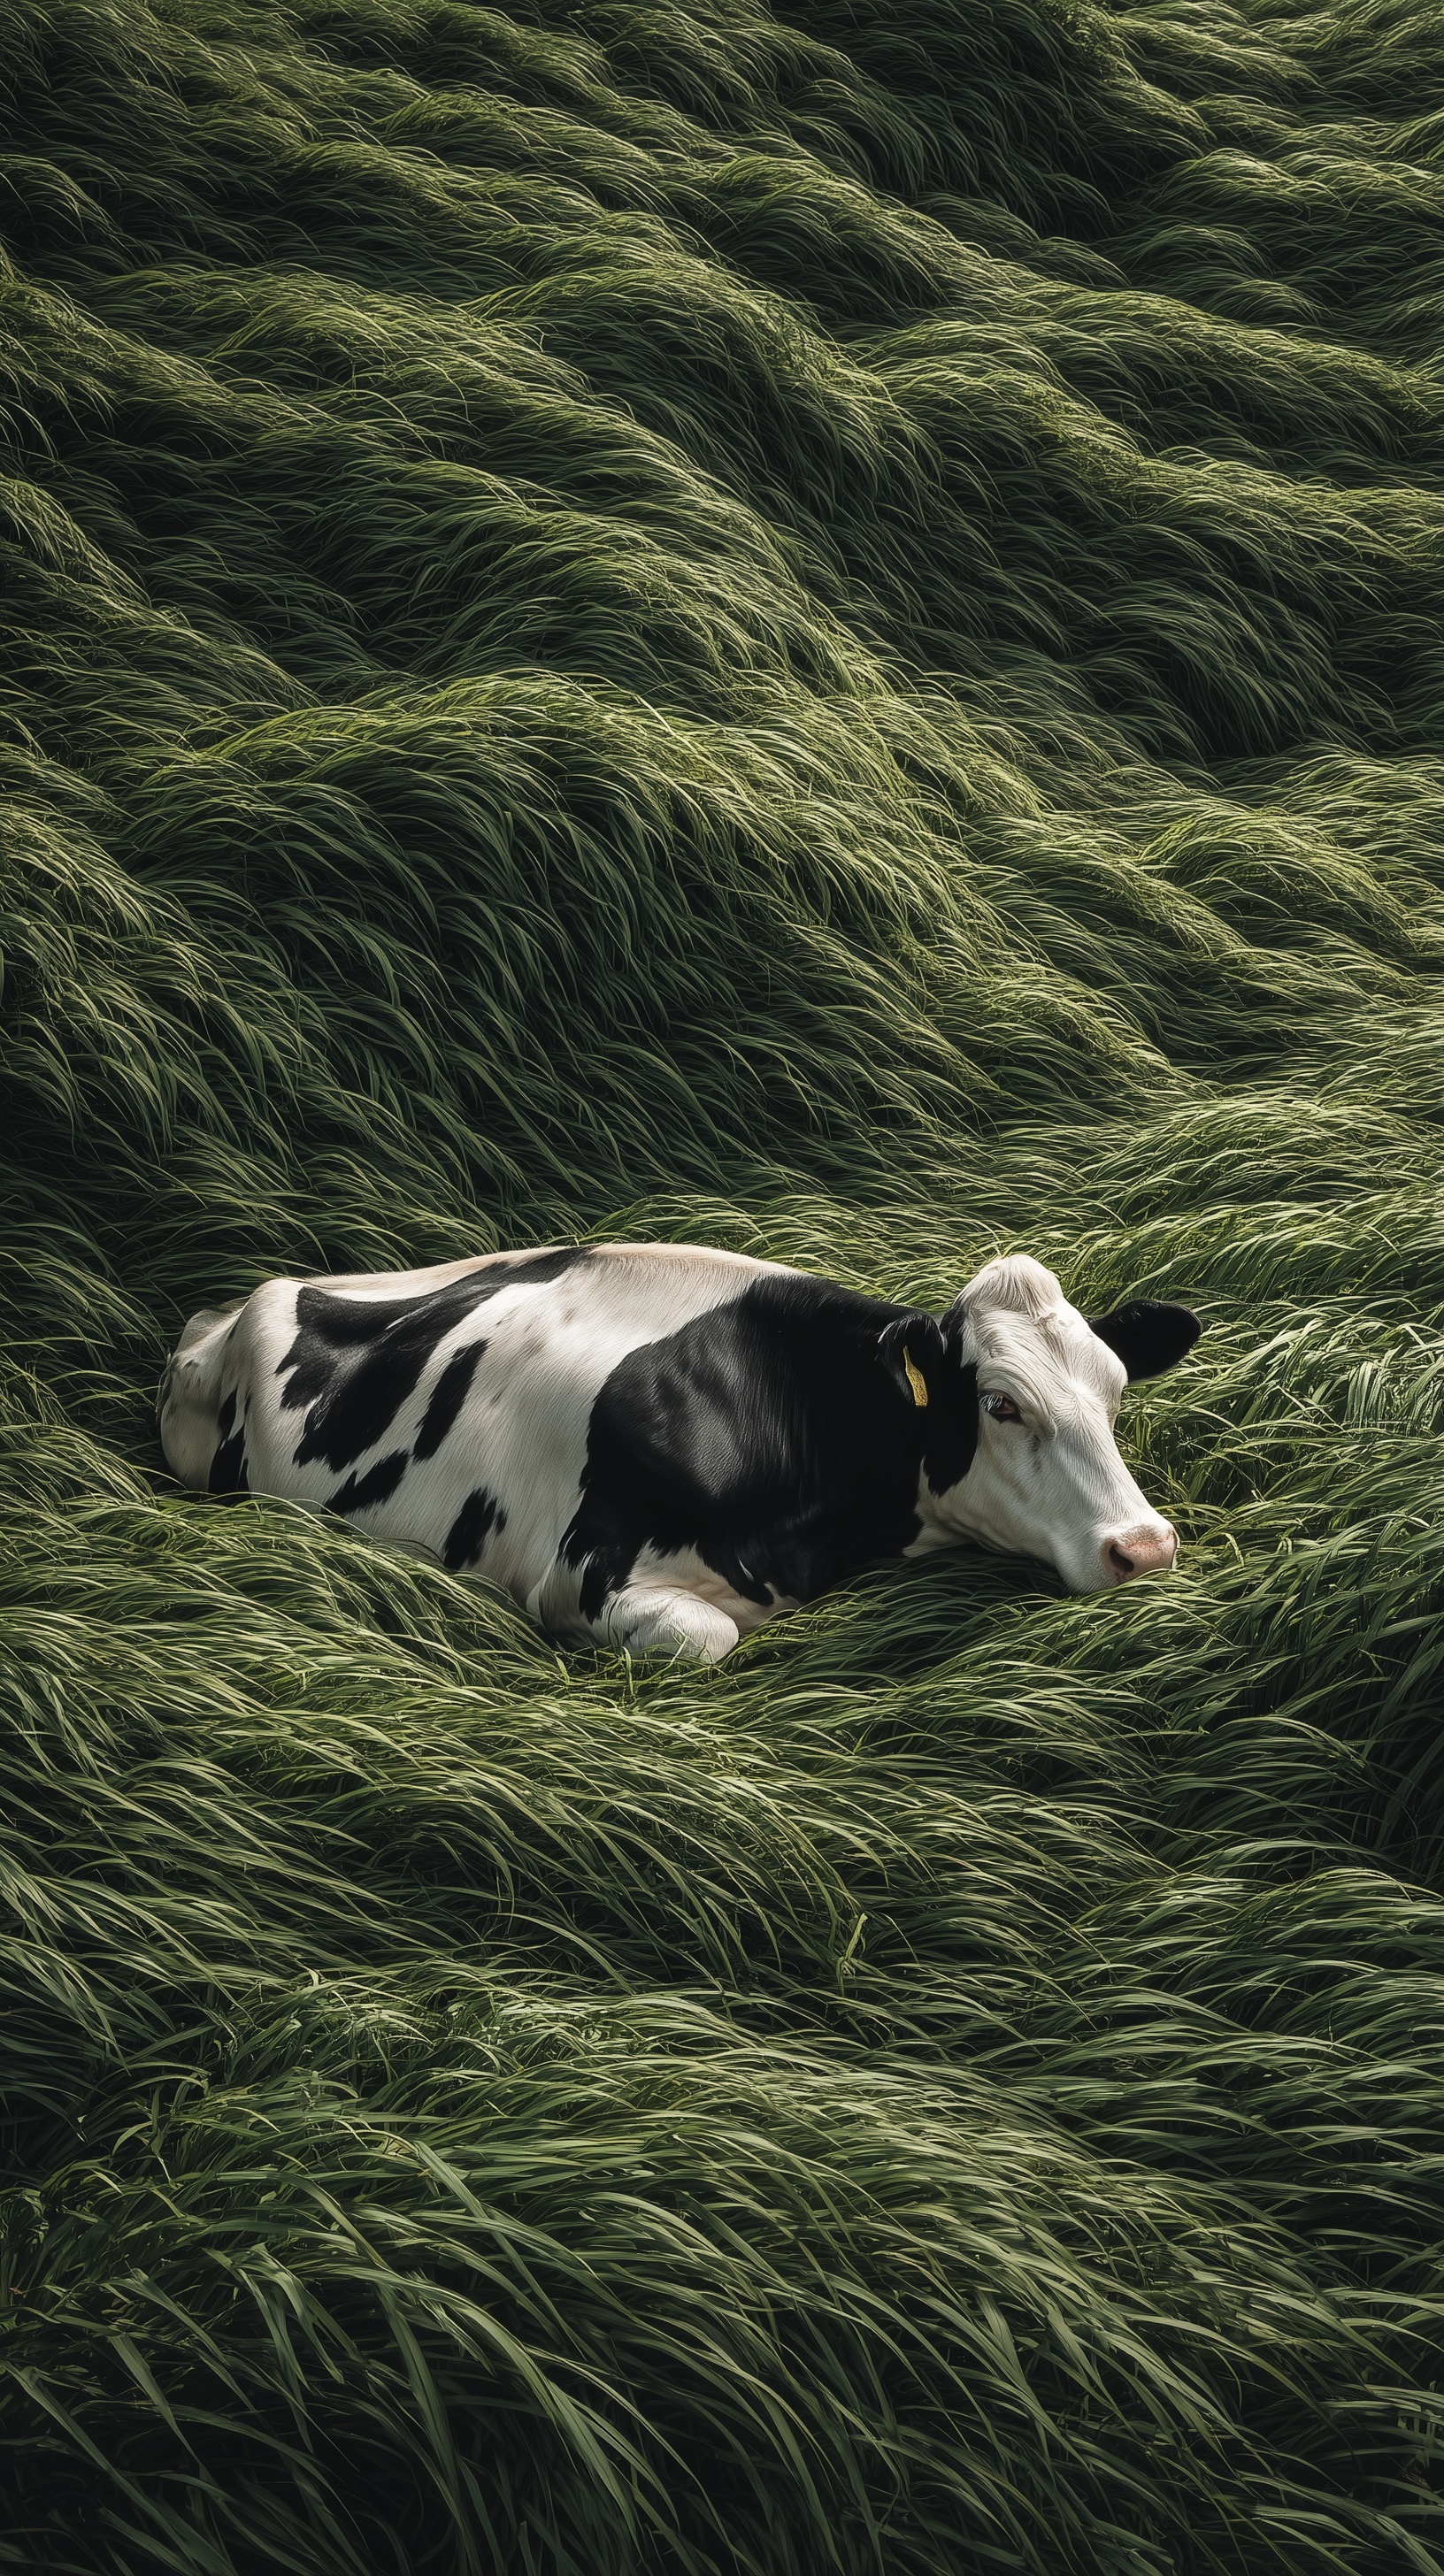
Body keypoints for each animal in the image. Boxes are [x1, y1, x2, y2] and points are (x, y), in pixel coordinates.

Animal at [158, 1244, 1200, 1662]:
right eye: (999, 1404)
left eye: (1115, 1389)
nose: (1144, 1547)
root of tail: (237, 1300)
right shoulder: (580, 1577)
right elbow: (708, 1636)